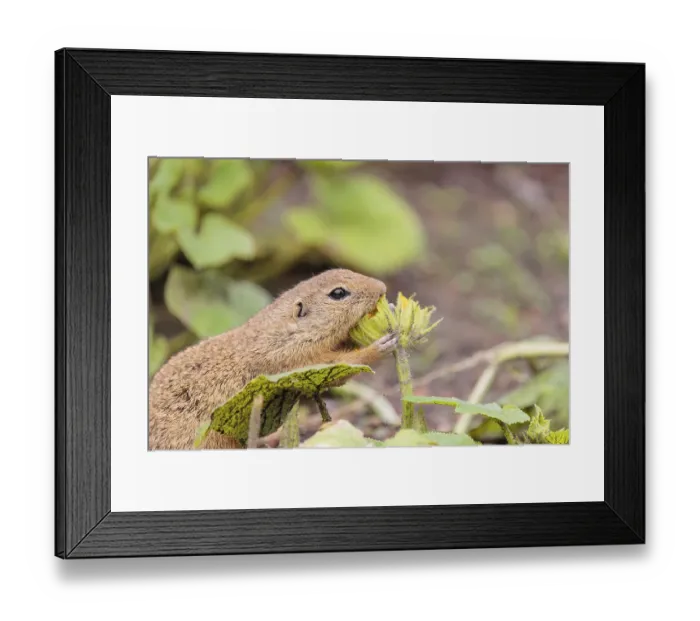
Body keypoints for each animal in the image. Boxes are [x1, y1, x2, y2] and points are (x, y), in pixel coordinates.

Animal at [149, 268, 398, 450]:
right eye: (338, 293)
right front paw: (379, 346)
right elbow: (339, 365)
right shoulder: (292, 360)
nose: (383, 287)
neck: (284, 331)